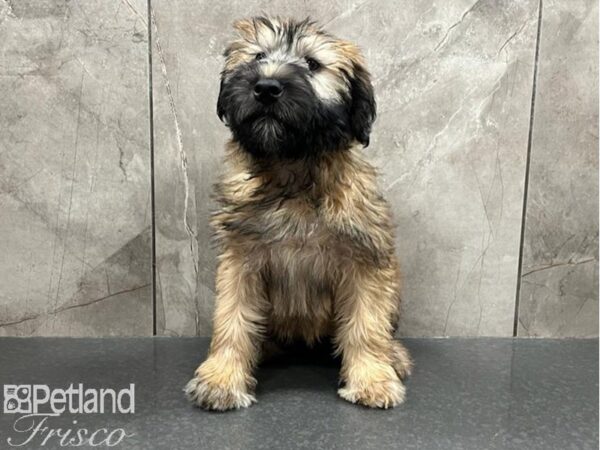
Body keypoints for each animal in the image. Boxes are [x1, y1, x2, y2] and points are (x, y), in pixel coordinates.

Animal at [186, 16, 412, 412]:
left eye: (313, 64)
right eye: (258, 57)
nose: (265, 87)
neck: (292, 166)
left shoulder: (365, 259)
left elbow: (366, 324)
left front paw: (372, 378)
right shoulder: (240, 260)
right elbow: (232, 321)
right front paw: (221, 378)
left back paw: (393, 356)